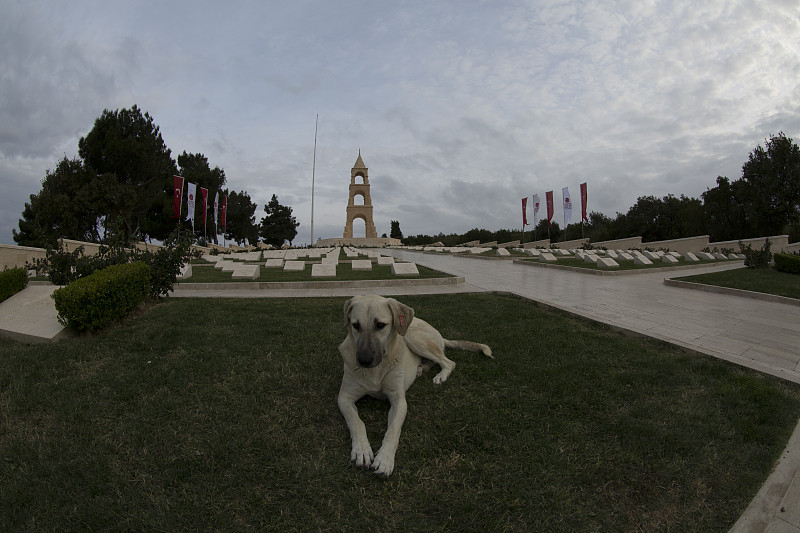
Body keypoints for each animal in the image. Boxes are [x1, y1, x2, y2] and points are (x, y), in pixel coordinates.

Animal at [334, 294, 490, 476]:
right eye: (355, 325)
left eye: (380, 325)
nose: (364, 361)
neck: (377, 370)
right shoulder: (345, 397)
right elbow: (356, 422)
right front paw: (362, 450)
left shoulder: (398, 400)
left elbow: (393, 429)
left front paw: (385, 459)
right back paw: (421, 369)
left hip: (413, 338)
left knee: (448, 361)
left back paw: (440, 375)